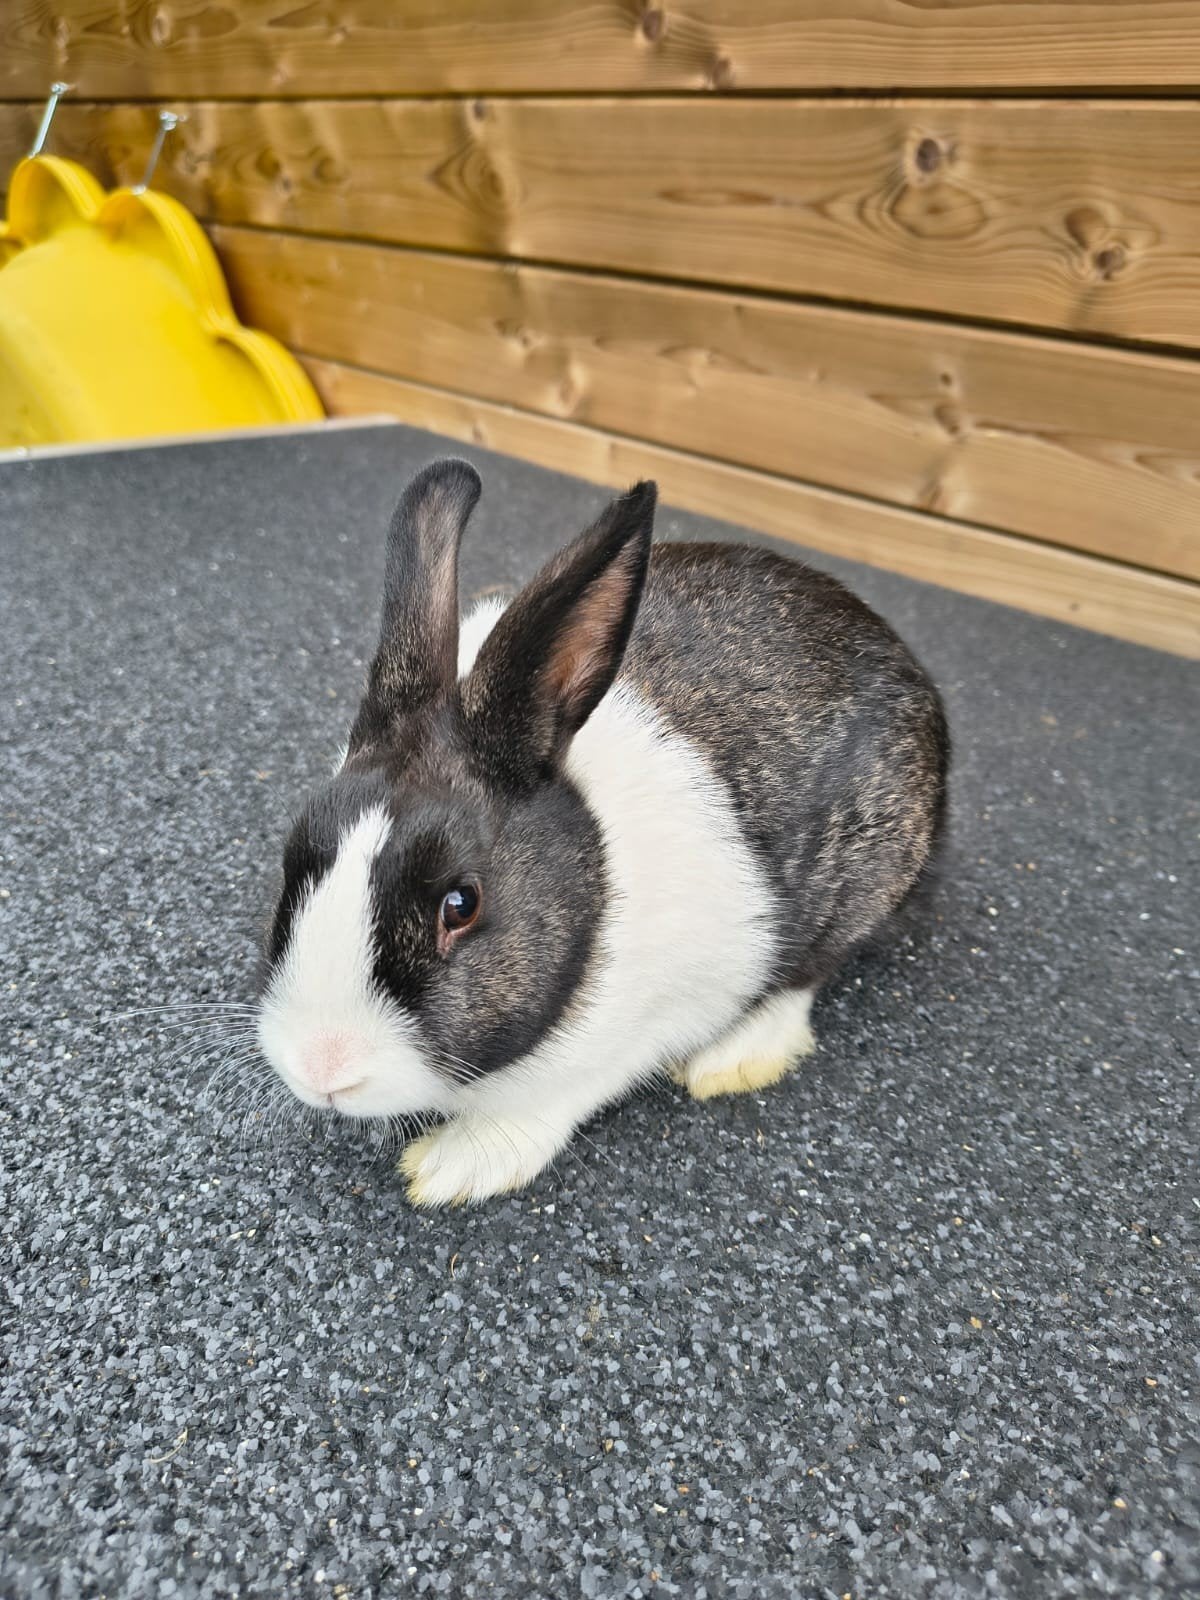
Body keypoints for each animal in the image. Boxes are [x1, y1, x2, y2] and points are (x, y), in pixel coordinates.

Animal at [256, 457, 949, 1206]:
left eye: (460, 905)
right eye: (294, 864)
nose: (322, 1069)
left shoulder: (646, 1026)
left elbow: (551, 1099)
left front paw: (449, 1169)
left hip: (862, 881)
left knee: (807, 976)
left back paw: (731, 1062)